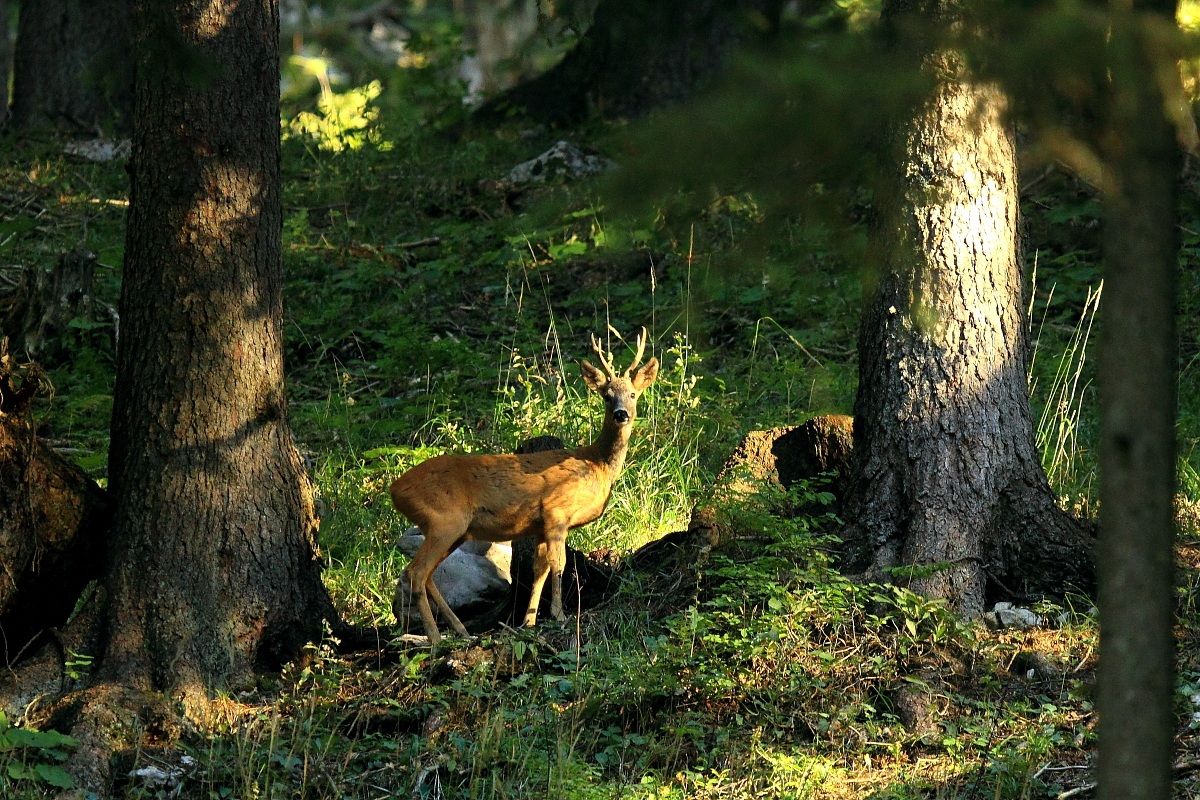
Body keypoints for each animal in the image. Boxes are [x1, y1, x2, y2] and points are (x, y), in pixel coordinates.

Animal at [390, 327, 659, 644]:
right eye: (606, 396)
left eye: (632, 393)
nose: (621, 414)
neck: (595, 464)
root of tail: (395, 490)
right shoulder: (557, 512)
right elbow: (559, 564)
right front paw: (559, 614)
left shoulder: (540, 525)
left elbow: (539, 568)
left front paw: (529, 620)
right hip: (445, 520)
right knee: (415, 572)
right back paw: (435, 637)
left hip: (453, 529)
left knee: (427, 574)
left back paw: (460, 630)